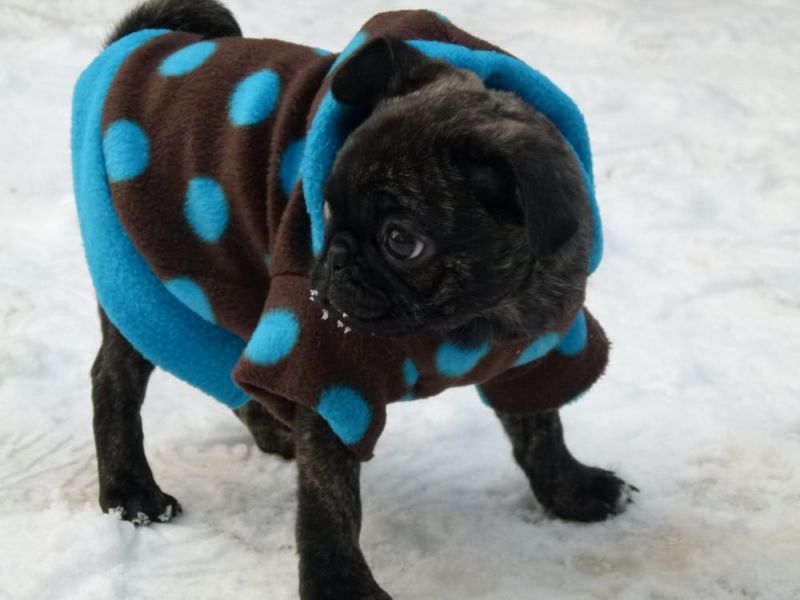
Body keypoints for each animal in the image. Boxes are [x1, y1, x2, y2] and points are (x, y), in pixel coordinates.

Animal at [73, 1, 636, 597]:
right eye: (323, 205)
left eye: (401, 241)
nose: (335, 256)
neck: (472, 319)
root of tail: (139, 42)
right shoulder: (327, 371)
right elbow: (328, 503)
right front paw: (340, 585)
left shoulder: (539, 351)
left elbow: (541, 430)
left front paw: (572, 492)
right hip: (147, 281)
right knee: (115, 380)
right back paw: (131, 491)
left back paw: (274, 430)